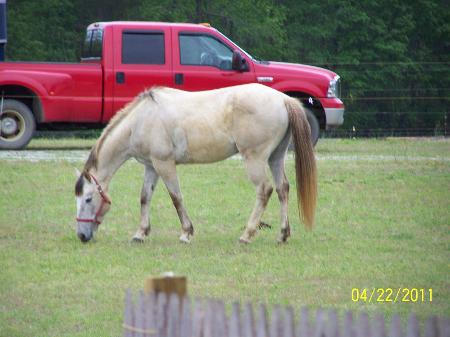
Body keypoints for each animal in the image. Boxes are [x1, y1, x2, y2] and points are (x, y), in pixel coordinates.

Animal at [74, 82, 316, 243]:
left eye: (88, 199)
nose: (82, 236)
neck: (140, 120)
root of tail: (284, 99)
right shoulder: (151, 166)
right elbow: (144, 198)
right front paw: (140, 233)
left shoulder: (164, 164)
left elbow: (176, 198)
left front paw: (186, 233)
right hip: (276, 157)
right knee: (282, 189)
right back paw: (283, 234)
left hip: (254, 159)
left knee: (264, 190)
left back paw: (246, 234)